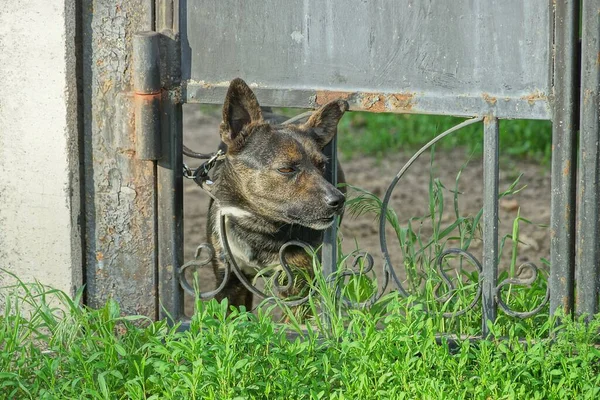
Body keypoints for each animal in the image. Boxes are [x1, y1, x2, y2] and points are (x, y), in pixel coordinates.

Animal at [206, 79, 346, 310]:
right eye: (286, 169)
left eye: (322, 166)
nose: (339, 200)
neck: (259, 228)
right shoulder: (229, 281)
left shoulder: (297, 286)